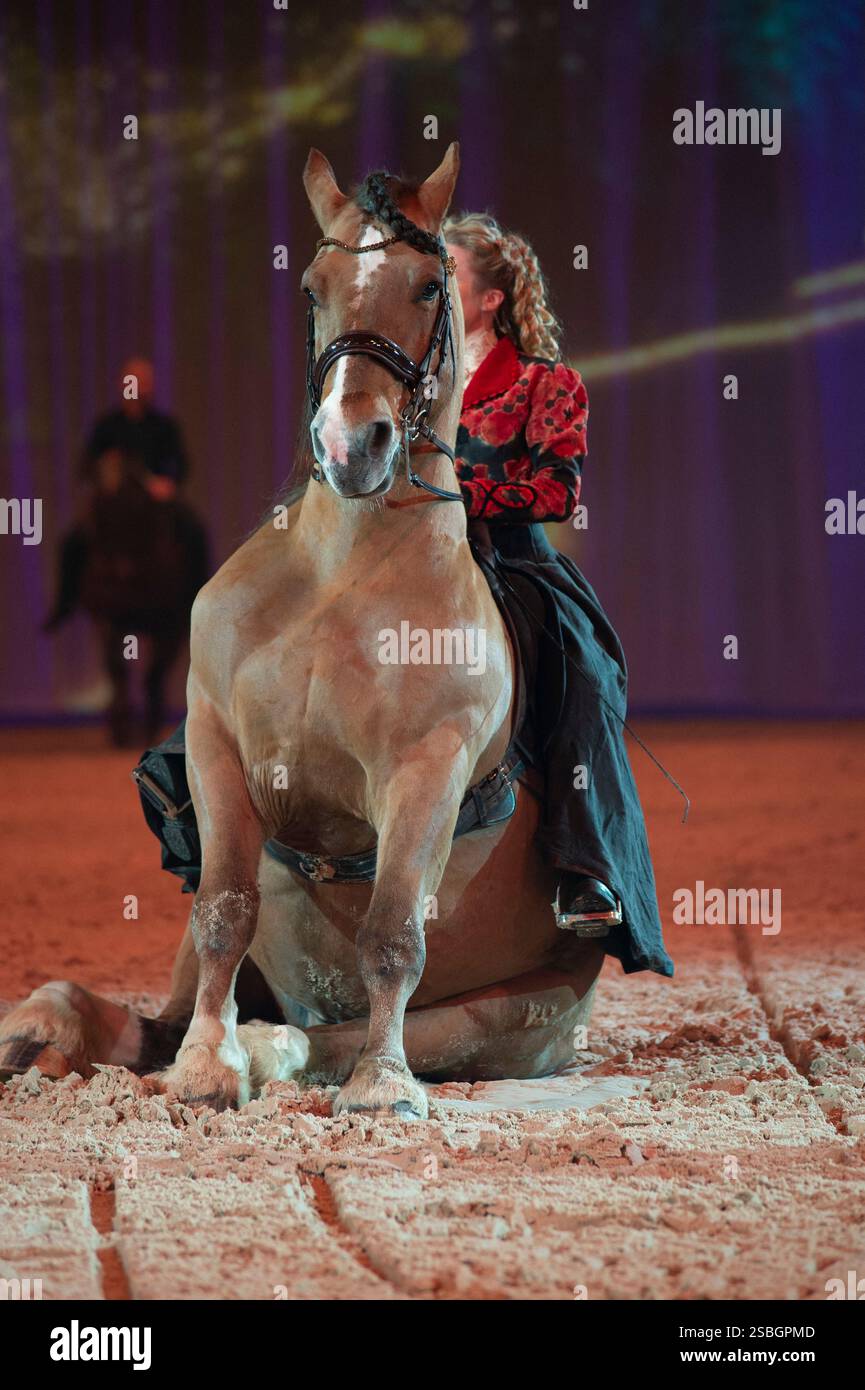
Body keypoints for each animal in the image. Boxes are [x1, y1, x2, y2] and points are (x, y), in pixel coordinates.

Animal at [0, 145, 605, 1117]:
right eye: (314, 288)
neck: (338, 580)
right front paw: (202, 1067)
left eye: (428, 286)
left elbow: (393, 933)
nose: (351, 443)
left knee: (337, 1028)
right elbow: (223, 909)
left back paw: (276, 1047)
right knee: (159, 1013)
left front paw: (378, 1088)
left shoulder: (424, 771)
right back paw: (48, 1024)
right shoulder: (220, 746)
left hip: (515, 1014)